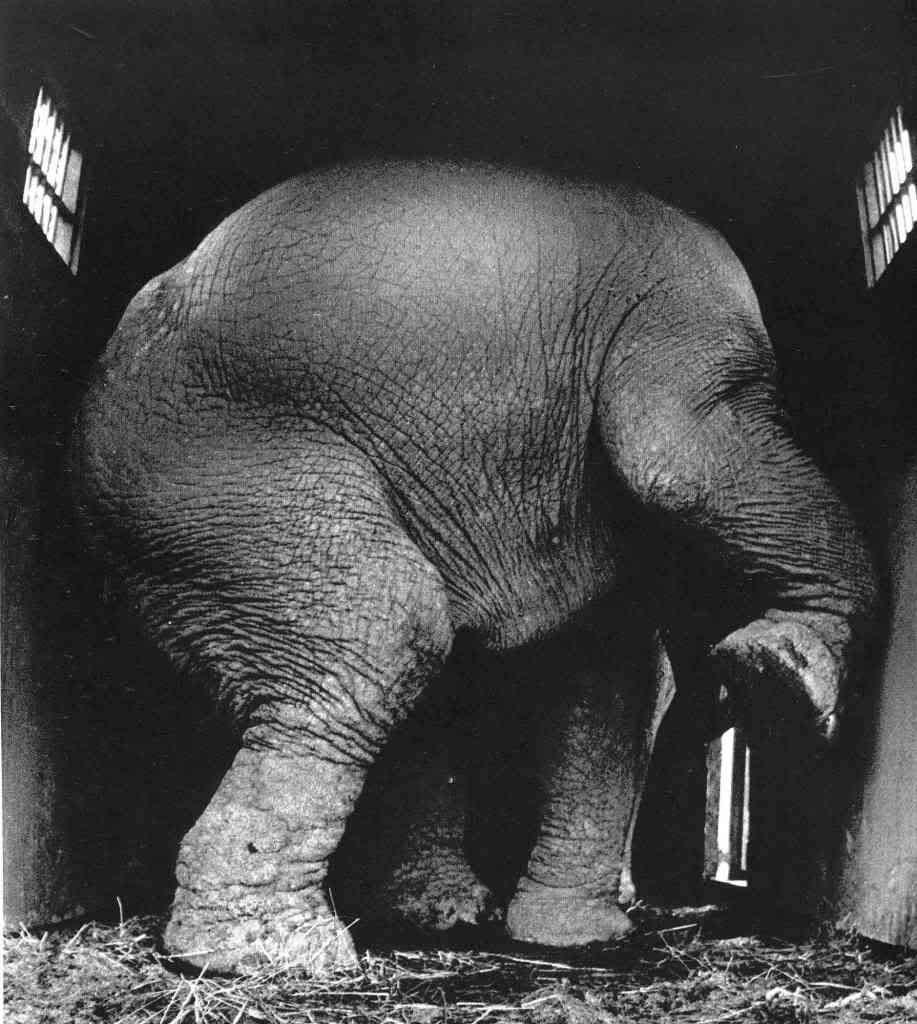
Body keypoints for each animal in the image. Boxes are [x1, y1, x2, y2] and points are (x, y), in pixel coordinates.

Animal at [71, 159, 878, 974]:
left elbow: (605, 670)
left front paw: (575, 937)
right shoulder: (684, 309)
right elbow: (681, 461)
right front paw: (783, 673)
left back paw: (433, 916)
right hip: (220, 481)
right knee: (385, 631)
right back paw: (272, 952)